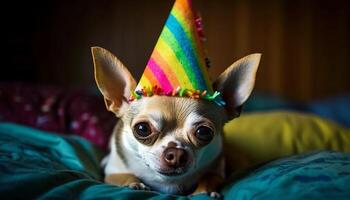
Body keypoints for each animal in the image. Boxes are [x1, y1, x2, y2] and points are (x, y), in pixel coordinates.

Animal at [90, 45, 260, 197]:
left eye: (204, 132)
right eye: (142, 129)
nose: (176, 153)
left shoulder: (217, 169)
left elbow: (209, 177)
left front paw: (203, 191)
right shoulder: (113, 171)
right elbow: (122, 176)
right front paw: (134, 183)